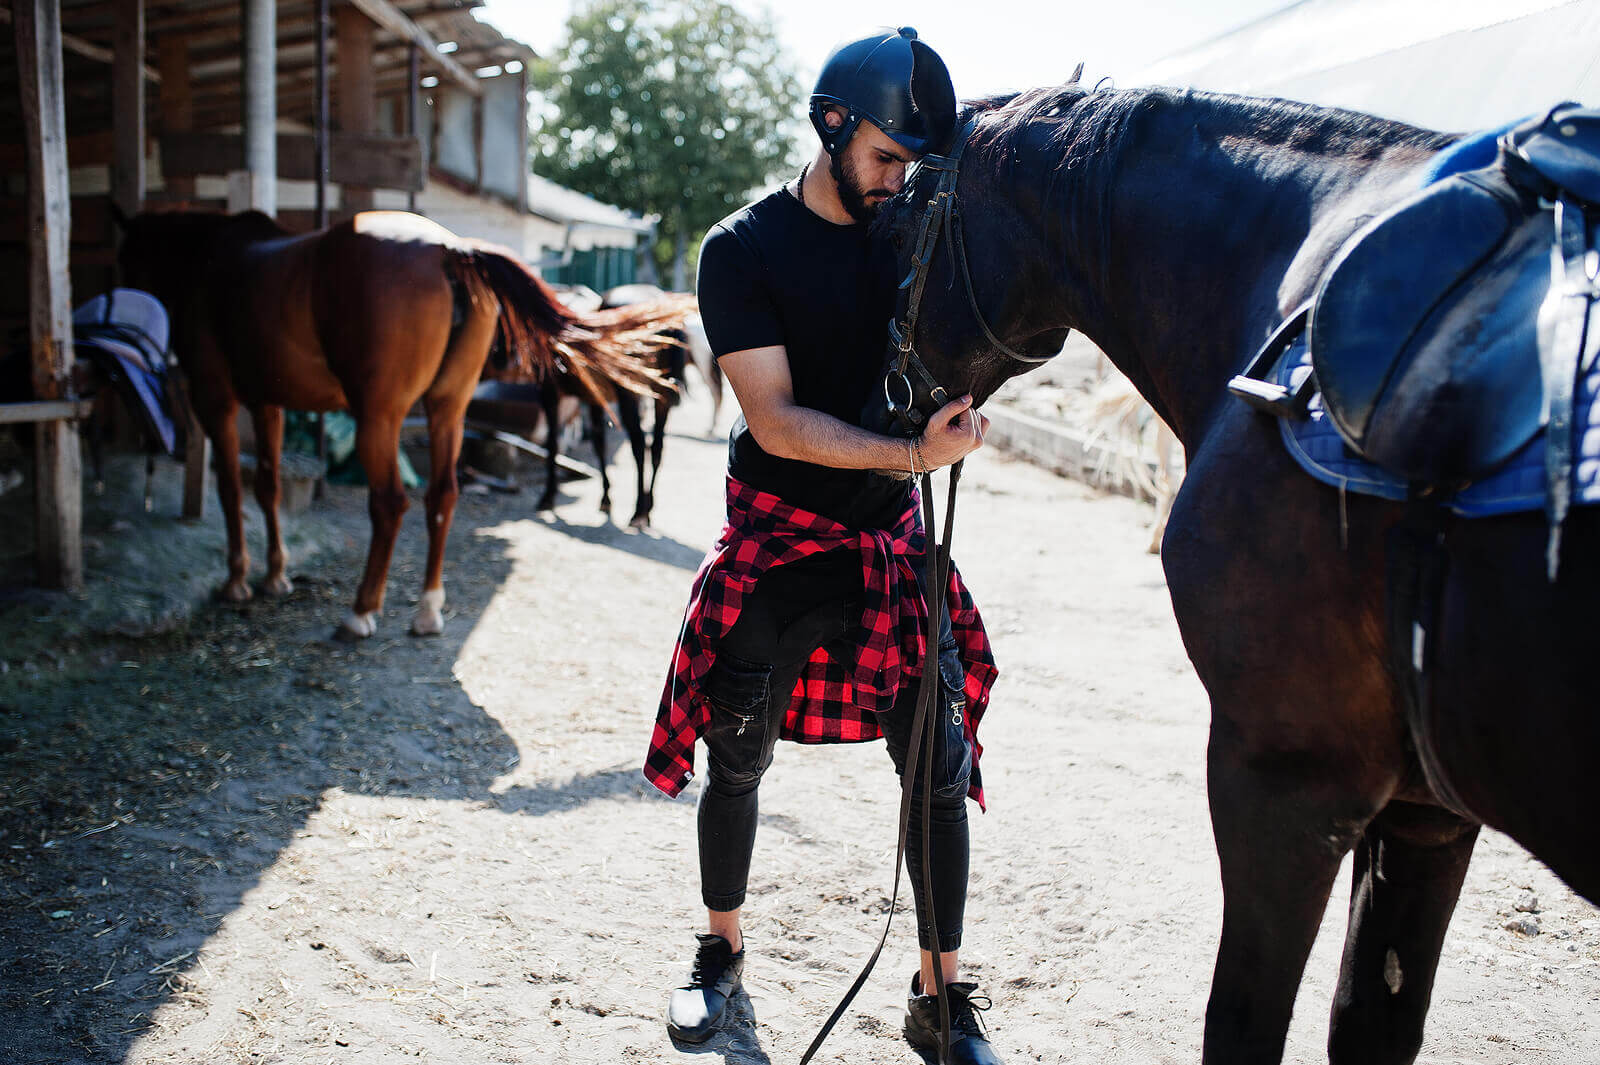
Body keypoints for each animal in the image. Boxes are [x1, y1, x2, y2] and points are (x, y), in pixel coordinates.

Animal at [116, 207, 678, 639]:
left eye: (125, 258)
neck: (209, 262)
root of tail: (450, 250)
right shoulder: (267, 404)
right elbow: (268, 485)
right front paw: (275, 574)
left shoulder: (216, 400)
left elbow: (232, 487)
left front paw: (238, 579)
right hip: (447, 408)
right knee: (443, 494)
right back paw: (428, 609)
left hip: (379, 416)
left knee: (389, 503)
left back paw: (361, 611)